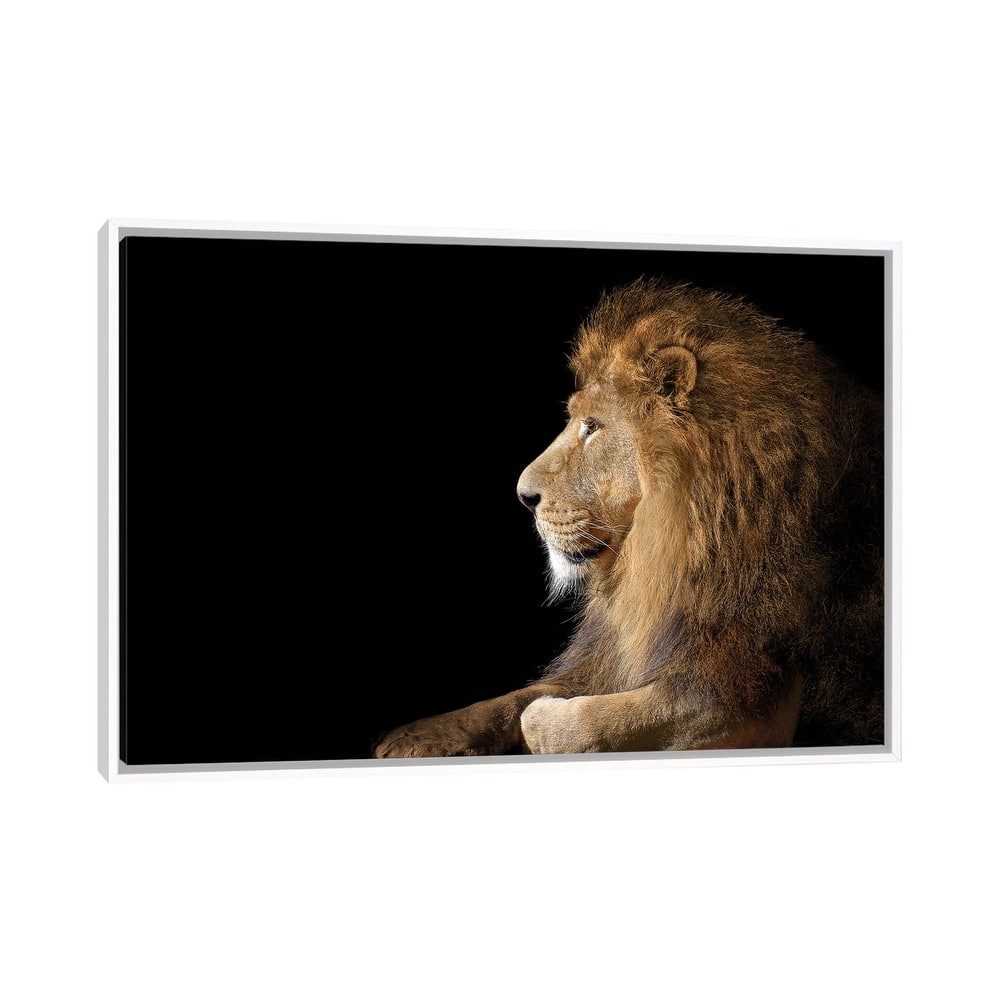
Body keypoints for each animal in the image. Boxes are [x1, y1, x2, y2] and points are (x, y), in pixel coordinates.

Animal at [374, 279, 884, 757]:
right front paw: (414, 735)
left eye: (593, 427)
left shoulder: (747, 693)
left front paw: (543, 718)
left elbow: (582, 720)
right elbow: (514, 697)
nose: (523, 497)